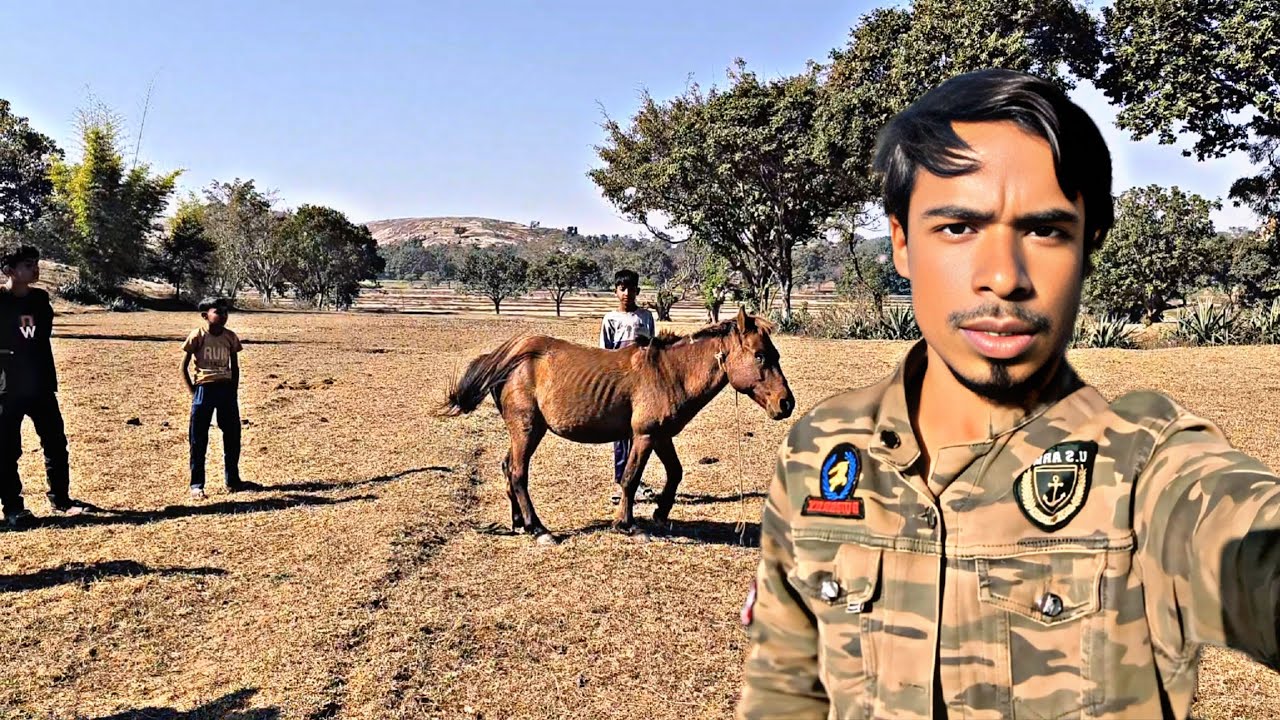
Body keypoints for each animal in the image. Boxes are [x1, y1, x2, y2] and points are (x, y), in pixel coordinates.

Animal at [439, 308, 794, 543]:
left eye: (775, 354)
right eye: (761, 356)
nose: (786, 403)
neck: (670, 372)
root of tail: (511, 355)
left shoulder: (661, 436)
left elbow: (675, 473)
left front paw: (660, 514)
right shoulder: (644, 436)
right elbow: (630, 478)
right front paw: (627, 525)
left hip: (523, 432)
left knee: (507, 467)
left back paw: (519, 522)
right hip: (527, 429)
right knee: (517, 473)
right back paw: (538, 529)